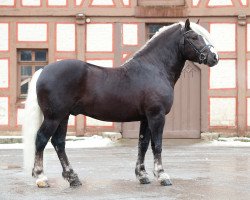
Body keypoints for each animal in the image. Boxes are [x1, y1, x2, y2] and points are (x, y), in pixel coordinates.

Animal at [23, 18, 219, 188]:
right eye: (193, 37)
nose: (214, 57)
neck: (154, 69)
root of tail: (43, 70)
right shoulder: (157, 115)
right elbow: (157, 144)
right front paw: (162, 175)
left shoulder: (145, 118)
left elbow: (143, 144)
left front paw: (142, 176)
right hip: (53, 117)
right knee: (41, 139)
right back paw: (41, 178)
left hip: (63, 117)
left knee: (59, 143)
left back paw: (73, 178)